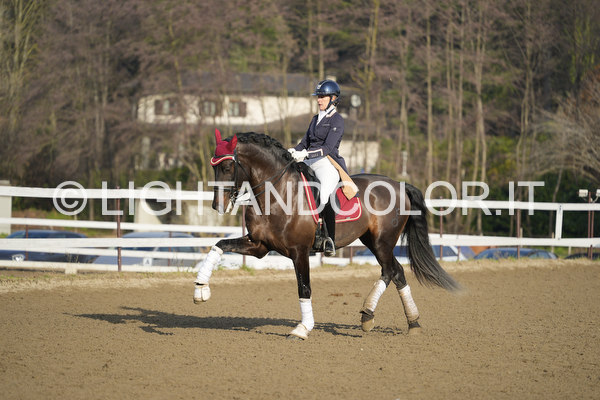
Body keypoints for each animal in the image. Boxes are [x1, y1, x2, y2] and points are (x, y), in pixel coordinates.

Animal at [193, 130, 460, 340]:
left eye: (227, 167)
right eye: (214, 167)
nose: (217, 206)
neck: (277, 193)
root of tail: (399, 184)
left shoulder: (299, 251)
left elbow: (304, 288)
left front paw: (302, 329)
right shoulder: (259, 246)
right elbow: (219, 245)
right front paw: (200, 289)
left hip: (382, 242)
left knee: (391, 271)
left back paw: (380, 316)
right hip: (372, 241)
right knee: (394, 272)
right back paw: (397, 320)